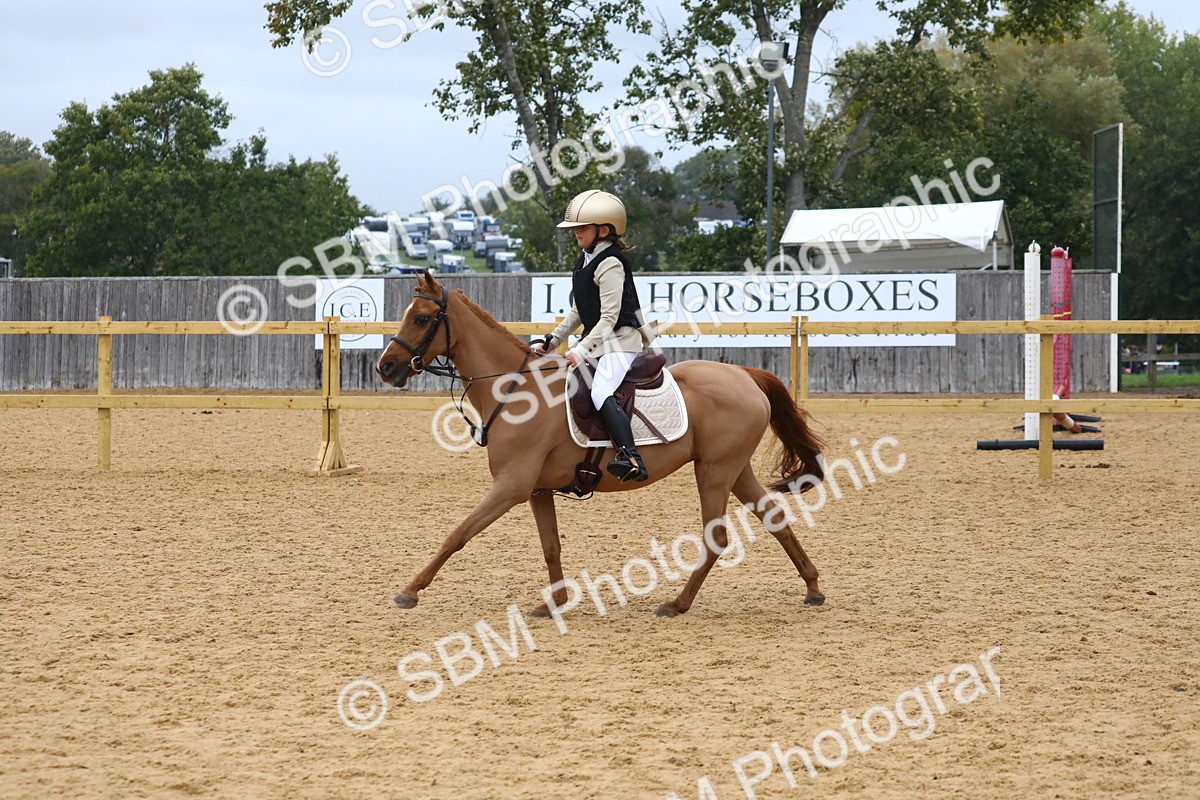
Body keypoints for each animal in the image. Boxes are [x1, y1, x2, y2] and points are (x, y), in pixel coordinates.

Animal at [375, 270, 827, 617]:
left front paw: (410, 591)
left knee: (715, 538)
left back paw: (677, 604)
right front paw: (553, 604)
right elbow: (551, 547)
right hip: (733, 469)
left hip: (715, 472)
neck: (517, 390)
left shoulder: (511, 487)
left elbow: (457, 534)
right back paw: (813, 587)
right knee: (774, 518)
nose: (386, 367)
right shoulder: (537, 490)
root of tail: (746, 376)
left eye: (422, 318)